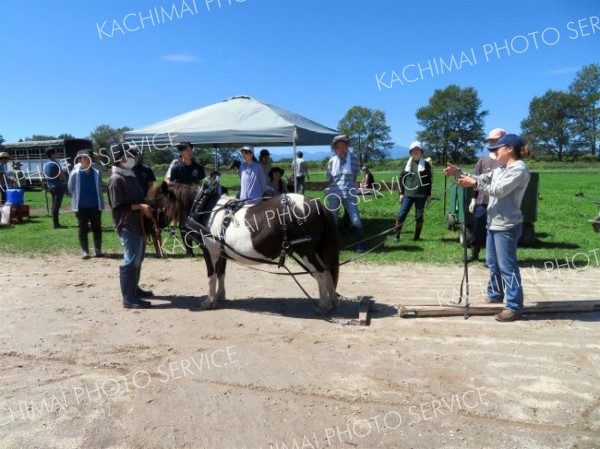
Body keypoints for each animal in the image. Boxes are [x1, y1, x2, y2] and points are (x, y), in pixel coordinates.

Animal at [147, 180, 340, 314]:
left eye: (154, 201)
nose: (153, 227)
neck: (205, 208)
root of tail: (317, 205)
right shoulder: (221, 252)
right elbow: (221, 273)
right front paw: (220, 296)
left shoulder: (210, 251)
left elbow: (211, 276)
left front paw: (209, 301)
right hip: (316, 250)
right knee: (327, 270)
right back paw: (331, 301)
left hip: (306, 251)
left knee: (320, 273)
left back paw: (323, 305)